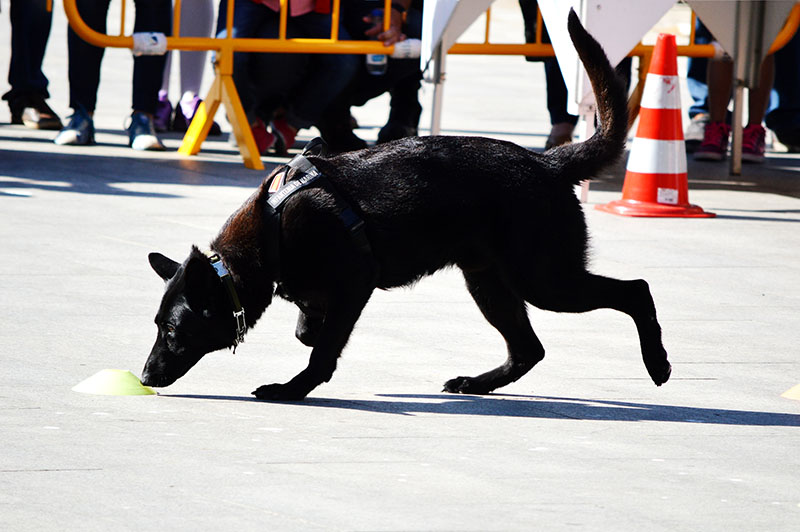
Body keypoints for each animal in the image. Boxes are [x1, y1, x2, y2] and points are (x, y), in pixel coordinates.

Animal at [142, 9, 668, 400]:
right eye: (159, 327)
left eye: (172, 333)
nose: (144, 377)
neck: (271, 230)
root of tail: (548, 162)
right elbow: (308, 329)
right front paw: (305, 334)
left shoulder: (355, 285)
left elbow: (322, 349)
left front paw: (293, 389)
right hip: (490, 284)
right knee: (529, 350)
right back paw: (477, 383)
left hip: (544, 280)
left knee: (636, 290)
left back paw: (657, 363)